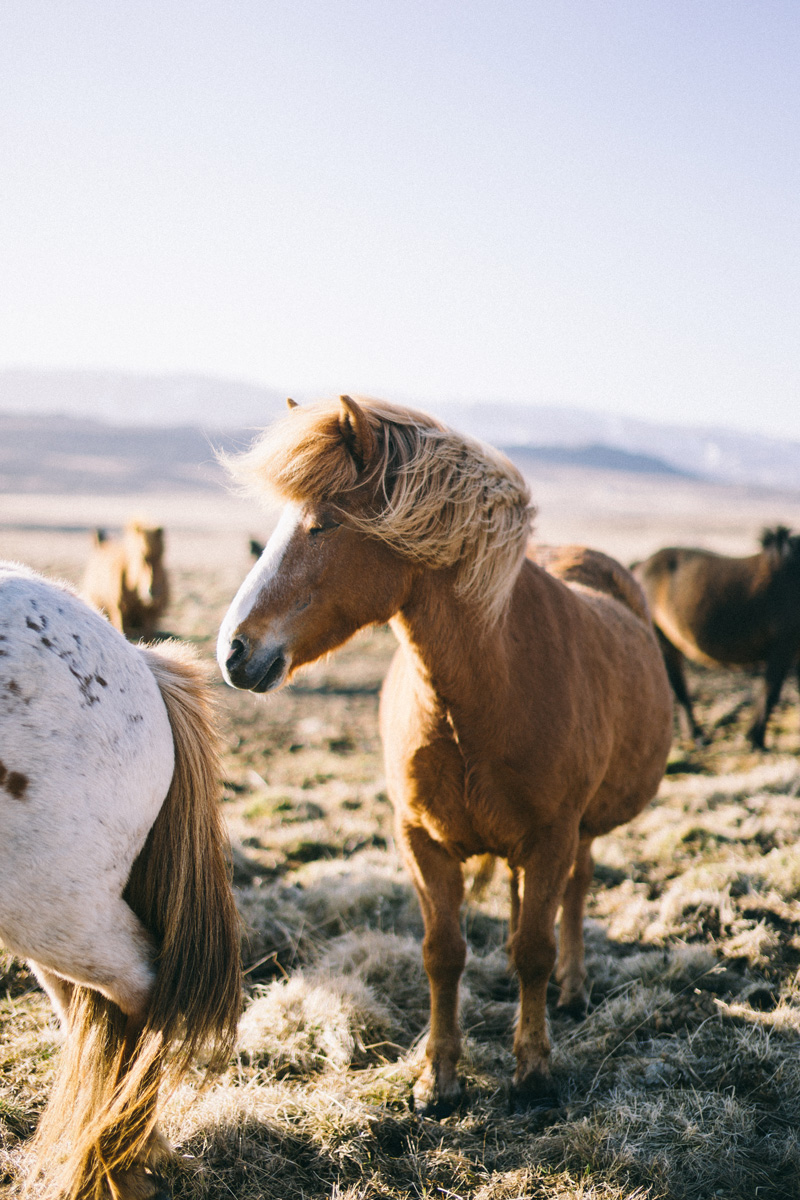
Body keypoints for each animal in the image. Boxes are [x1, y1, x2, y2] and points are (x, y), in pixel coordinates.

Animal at [215, 398, 671, 1108]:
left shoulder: (551, 834)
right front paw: (439, 1077)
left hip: (579, 831)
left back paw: (571, 991)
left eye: (323, 524)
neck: (487, 689)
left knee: (575, 891)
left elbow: (534, 947)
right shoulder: (421, 840)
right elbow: (443, 953)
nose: (233, 651)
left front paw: (532, 1070)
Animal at [633, 528, 800, 744]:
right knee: (679, 689)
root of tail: (640, 566)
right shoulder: (783, 646)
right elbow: (770, 693)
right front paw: (755, 739)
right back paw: (697, 736)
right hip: (663, 642)